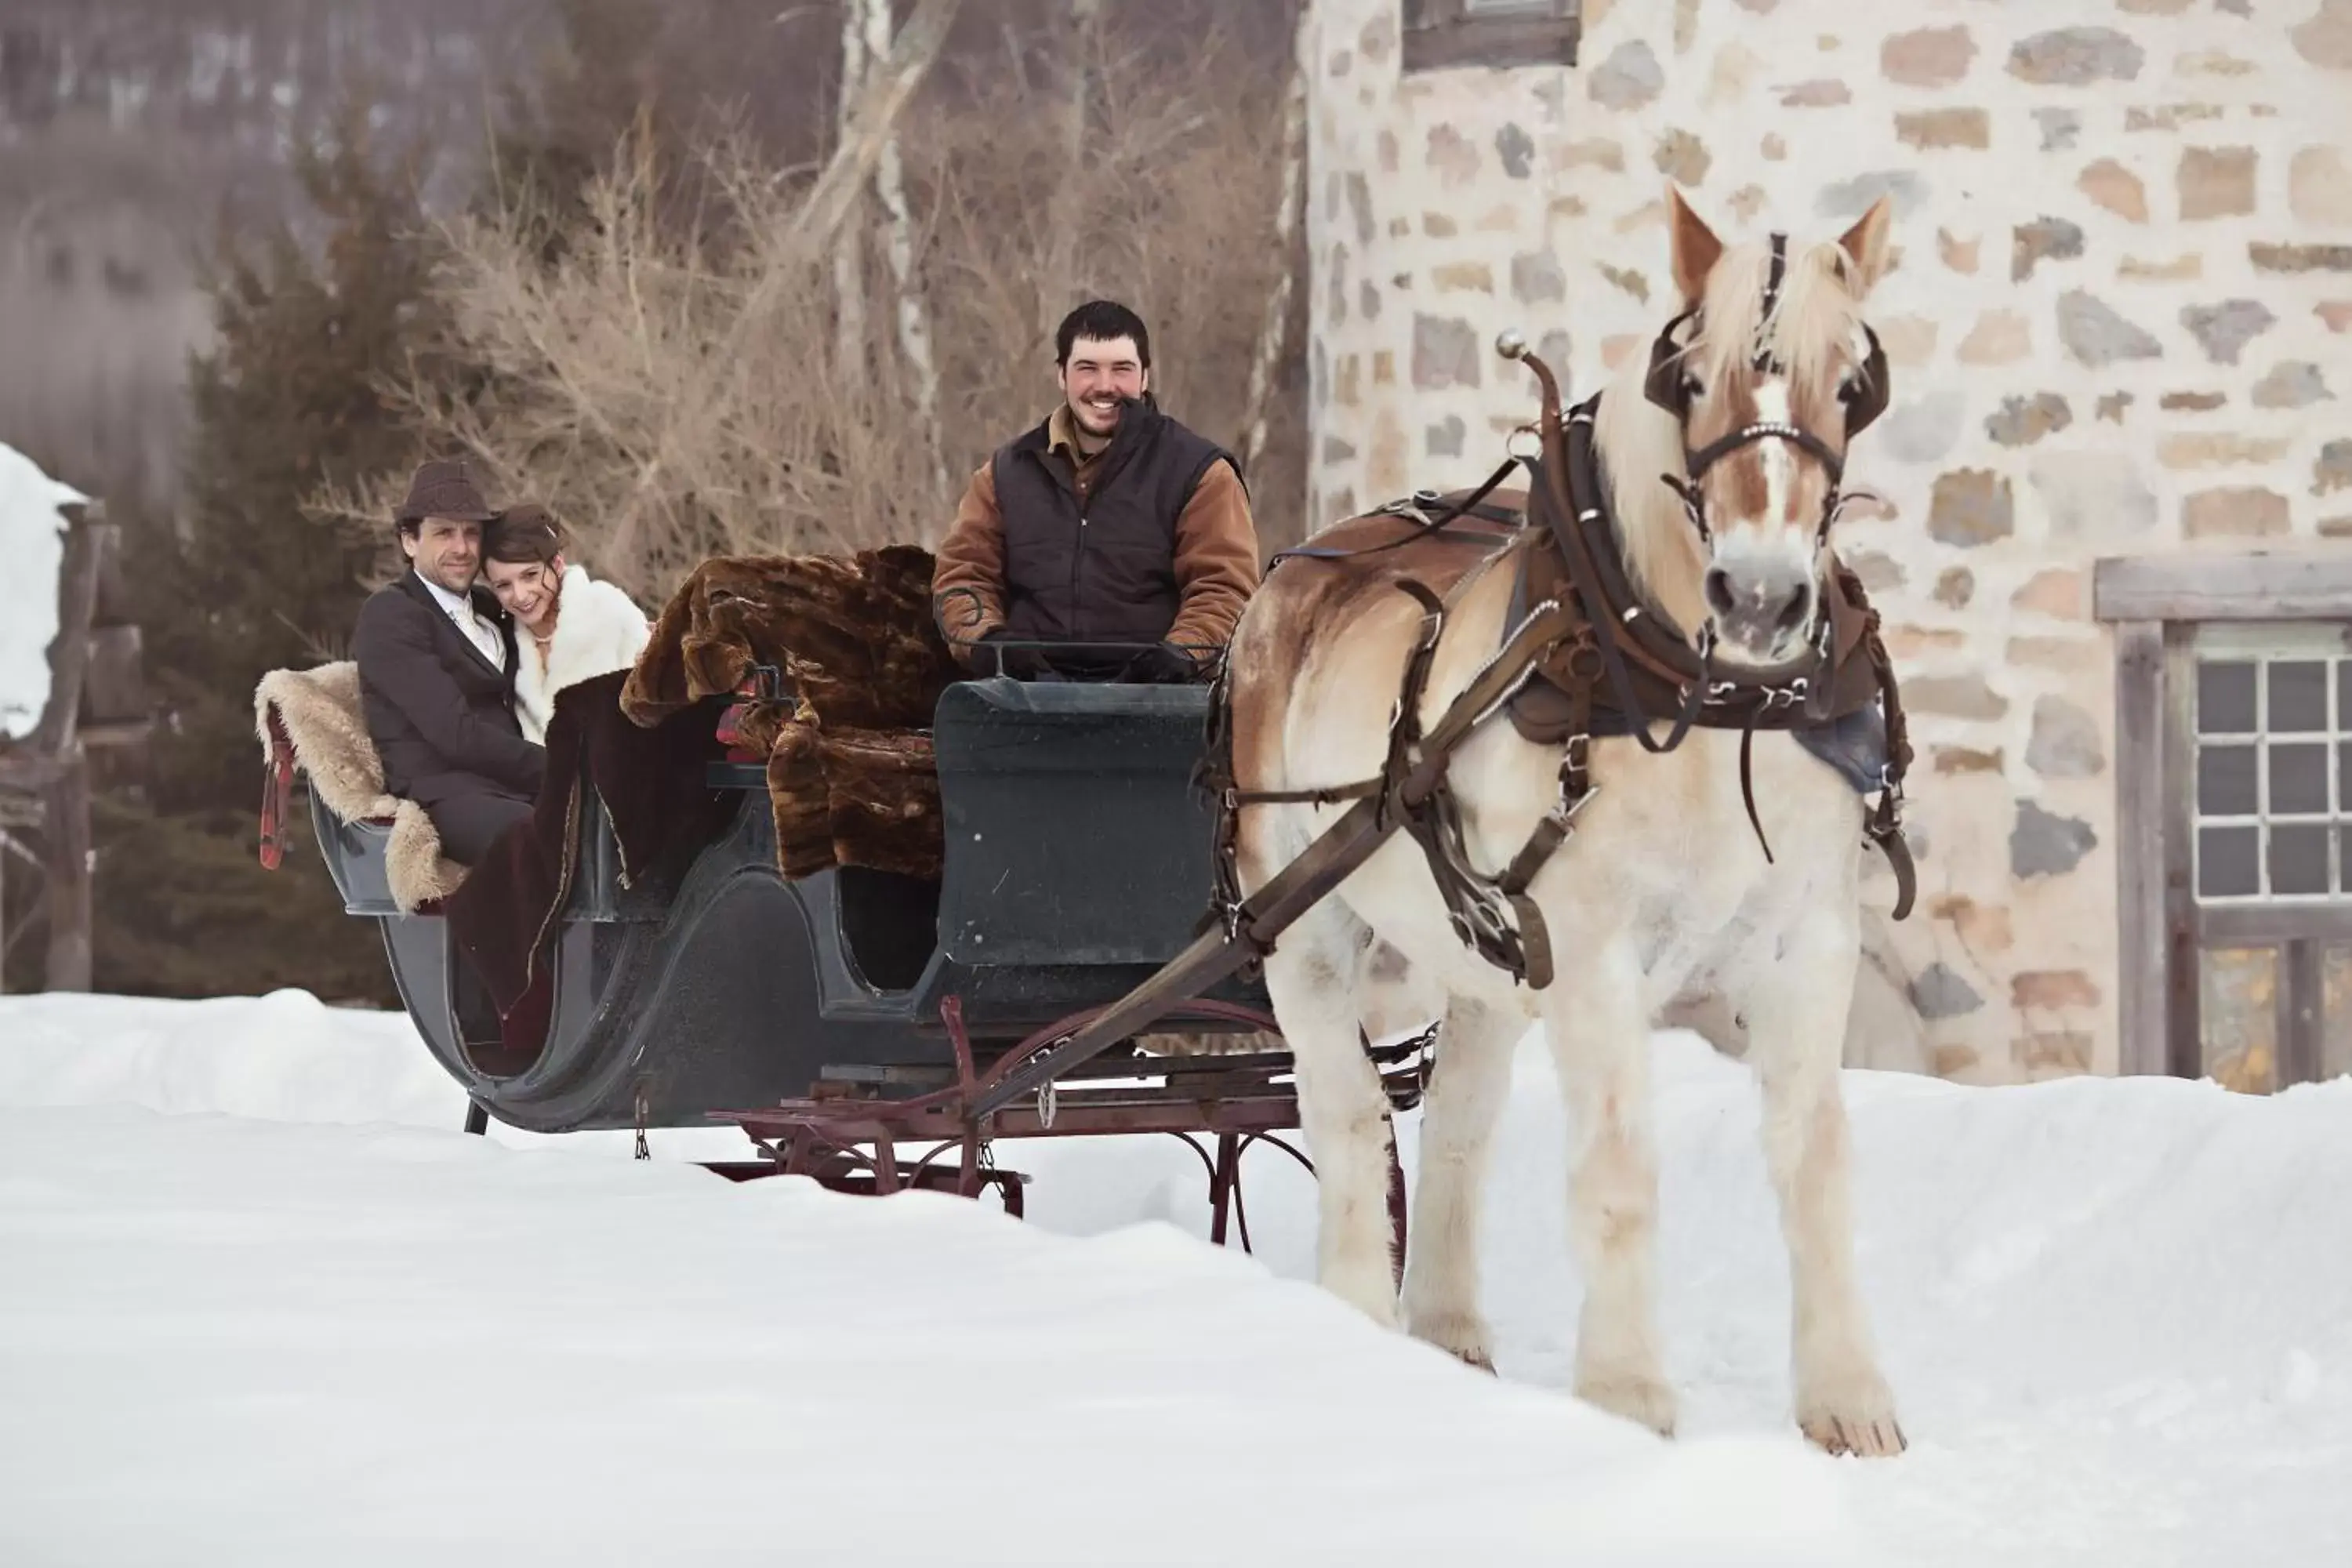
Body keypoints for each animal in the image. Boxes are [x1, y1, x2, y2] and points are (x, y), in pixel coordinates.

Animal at [1232, 187, 1910, 1457]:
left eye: (1853, 383)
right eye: (1688, 378)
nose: (1761, 597)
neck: (1712, 700)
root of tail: (1302, 566)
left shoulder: (1806, 944)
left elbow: (1817, 1162)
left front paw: (1850, 1401)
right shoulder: (1595, 953)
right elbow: (1619, 1166)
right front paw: (1629, 1397)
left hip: (1485, 960)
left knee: (1454, 1123)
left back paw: (1448, 1333)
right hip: (1300, 924)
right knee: (1348, 1115)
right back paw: (1354, 1329)